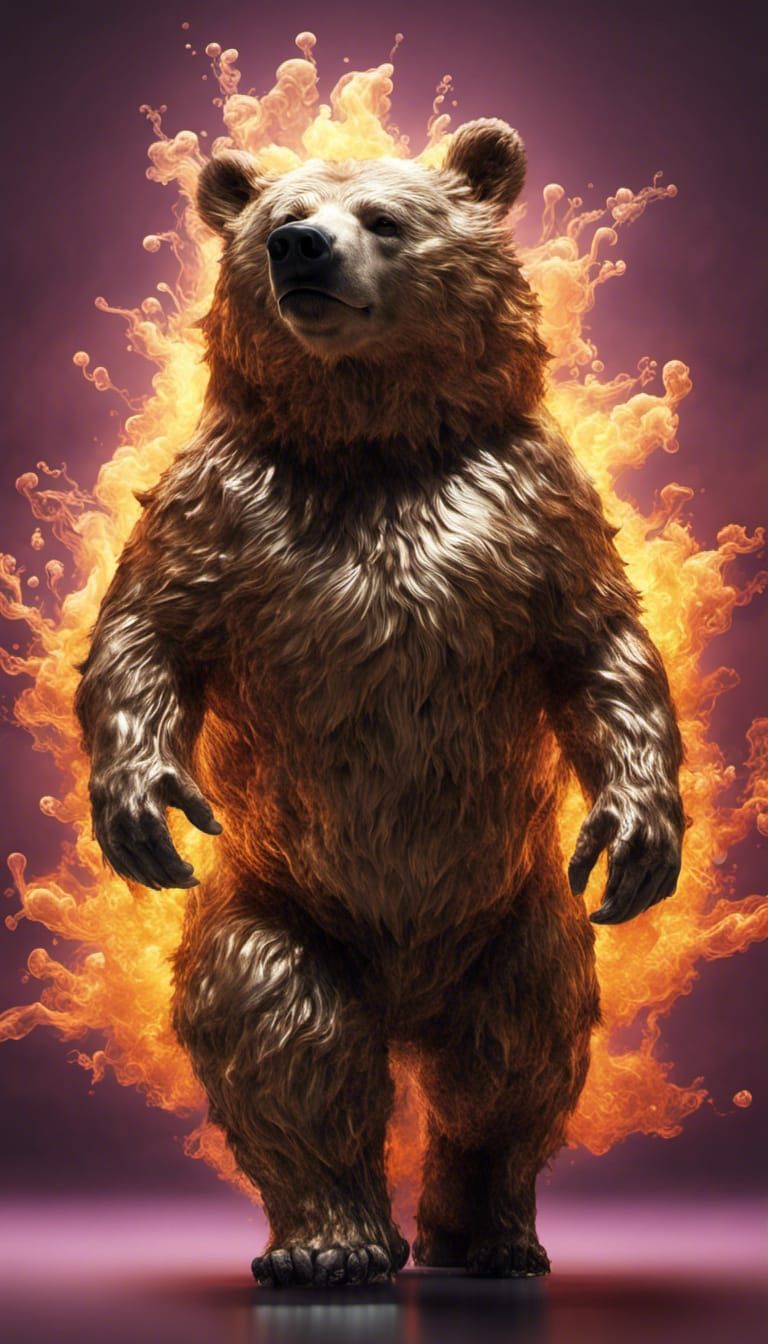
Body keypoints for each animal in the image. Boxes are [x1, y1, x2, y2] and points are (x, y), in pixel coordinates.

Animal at [73, 119, 685, 1287]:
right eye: (278, 218)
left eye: (385, 218)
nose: (301, 249)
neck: (374, 446)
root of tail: (407, 999)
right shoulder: (226, 507)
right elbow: (145, 633)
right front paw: (141, 805)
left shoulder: (527, 507)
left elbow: (602, 651)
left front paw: (638, 832)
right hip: (276, 903)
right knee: (288, 1033)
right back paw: (330, 1242)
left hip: (522, 914)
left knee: (513, 1056)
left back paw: (488, 1236)